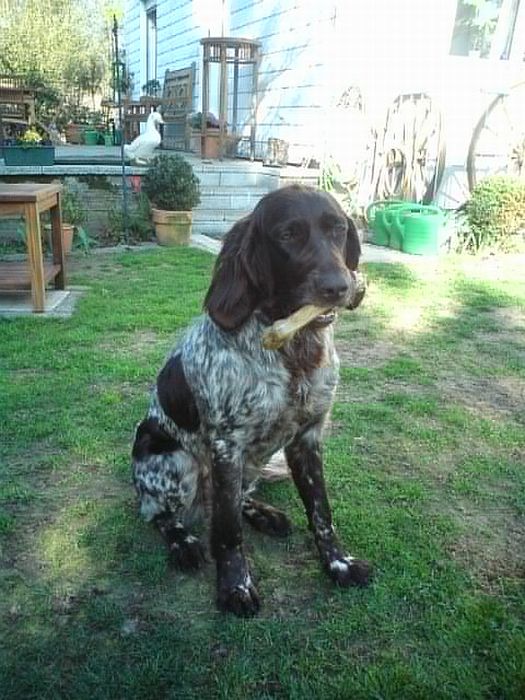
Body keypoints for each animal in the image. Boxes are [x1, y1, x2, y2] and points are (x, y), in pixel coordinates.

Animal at [132, 184, 372, 616]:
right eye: (287, 235)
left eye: (338, 229)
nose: (337, 286)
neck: (294, 349)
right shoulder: (227, 445)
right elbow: (227, 532)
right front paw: (235, 586)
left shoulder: (308, 438)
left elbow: (322, 513)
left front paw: (338, 564)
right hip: (172, 460)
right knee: (160, 513)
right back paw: (183, 542)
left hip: (263, 462)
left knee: (236, 498)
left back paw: (264, 514)